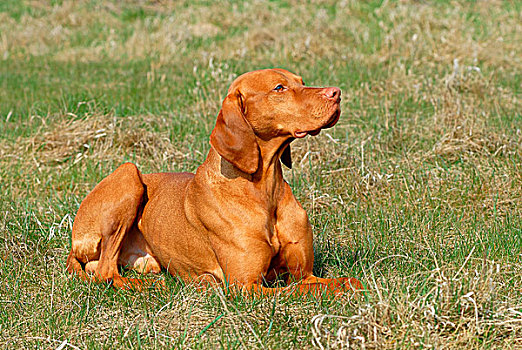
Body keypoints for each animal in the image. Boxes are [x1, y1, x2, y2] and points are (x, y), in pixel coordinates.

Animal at [66, 69, 362, 298]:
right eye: (279, 88)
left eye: (301, 81)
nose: (336, 93)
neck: (264, 191)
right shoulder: (246, 286)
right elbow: (299, 290)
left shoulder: (305, 273)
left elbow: (346, 281)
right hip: (129, 173)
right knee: (106, 272)